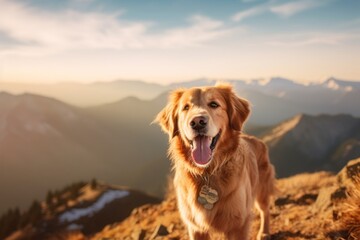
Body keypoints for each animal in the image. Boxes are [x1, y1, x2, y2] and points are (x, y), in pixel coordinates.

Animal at [155, 83, 276, 239]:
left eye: (214, 104)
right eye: (186, 107)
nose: (197, 122)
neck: (207, 172)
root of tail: (258, 141)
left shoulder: (238, 224)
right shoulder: (195, 227)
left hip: (262, 189)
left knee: (264, 210)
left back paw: (264, 232)